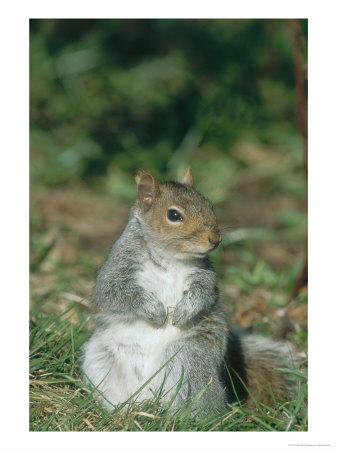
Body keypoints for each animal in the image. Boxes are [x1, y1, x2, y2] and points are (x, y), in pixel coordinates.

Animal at [82, 167, 298, 414]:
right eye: (174, 215)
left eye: (210, 205)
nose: (215, 239)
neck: (169, 256)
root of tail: (146, 397)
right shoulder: (117, 269)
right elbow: (114, 293)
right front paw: (155, 310)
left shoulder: (205, 277)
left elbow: (203, 295)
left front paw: (183, 312)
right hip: (100, 358)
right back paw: (121, 410)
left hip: (188, 357)